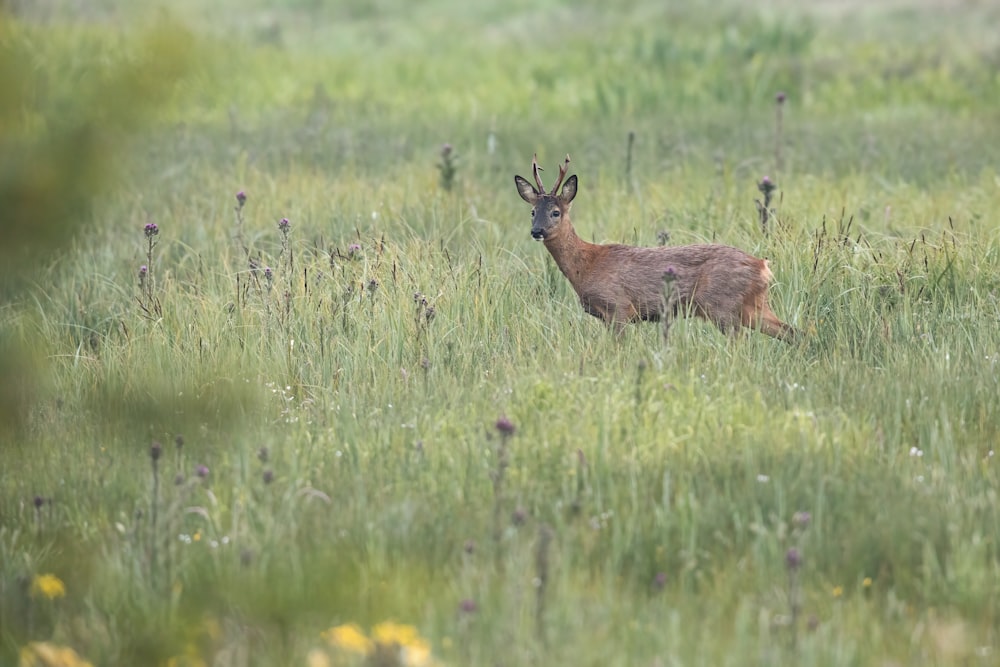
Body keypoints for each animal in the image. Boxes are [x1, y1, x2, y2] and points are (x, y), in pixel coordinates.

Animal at [516, 156, 796, 342]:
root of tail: (762, 266)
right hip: (752, 306)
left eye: (555, 212)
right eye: (532, 211)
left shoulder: (618, 307)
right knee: (792, 332)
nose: (537, 231)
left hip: (722, 305)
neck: (585, 265)